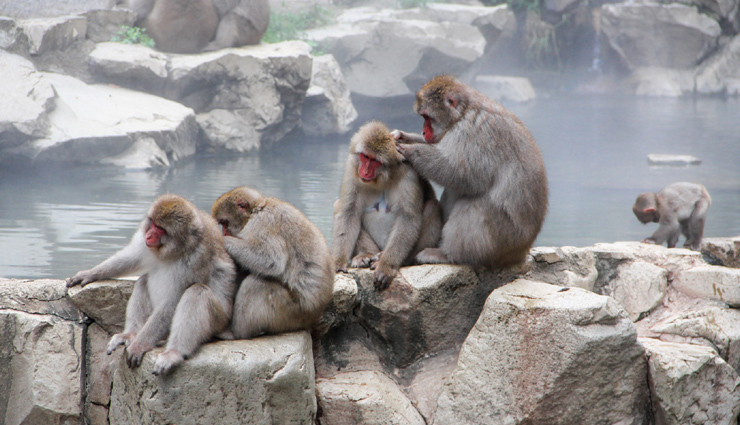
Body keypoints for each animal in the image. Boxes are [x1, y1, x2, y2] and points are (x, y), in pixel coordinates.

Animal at [66, 194, 236, 376]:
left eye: (161, 229)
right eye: (153, 223)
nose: (148, 235)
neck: (176, 249)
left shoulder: (198, 258)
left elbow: (172, 302)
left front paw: (139, 345)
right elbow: (132, 258)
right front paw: (89, 273)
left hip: (219, 321)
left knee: (197, 292)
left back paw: (173, 352)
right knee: (143, 281)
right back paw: (130, 334)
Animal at [211, 186, 334, 339]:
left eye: (224, 222)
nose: (225, 232)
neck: (258, 208)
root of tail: (313, 316)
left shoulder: (263, 222)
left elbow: (272, 261)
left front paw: (225, 241)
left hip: (290, 313)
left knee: (258, 284)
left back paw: (236, 333)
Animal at [332, 121, 442, 290]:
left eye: (375, 161)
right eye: (365, 156)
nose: (364, 171)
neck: (382, 178)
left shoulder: (409, 175)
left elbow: (407, 217)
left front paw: (386, 267)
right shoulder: (352, 168)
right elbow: (348, 212)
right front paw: (338, 263)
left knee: (432, 206)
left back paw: (396, 259)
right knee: (340, 206)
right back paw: (367, 255)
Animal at [392, 75, 548, 269]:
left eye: (427, 117)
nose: (423, 131)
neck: (463, 112)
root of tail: (519, 253)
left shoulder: (475, 133)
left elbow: (462, 174)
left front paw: (409, 149)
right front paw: (401, 136)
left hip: (502, 240)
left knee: (475, 204)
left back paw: (447, 254)